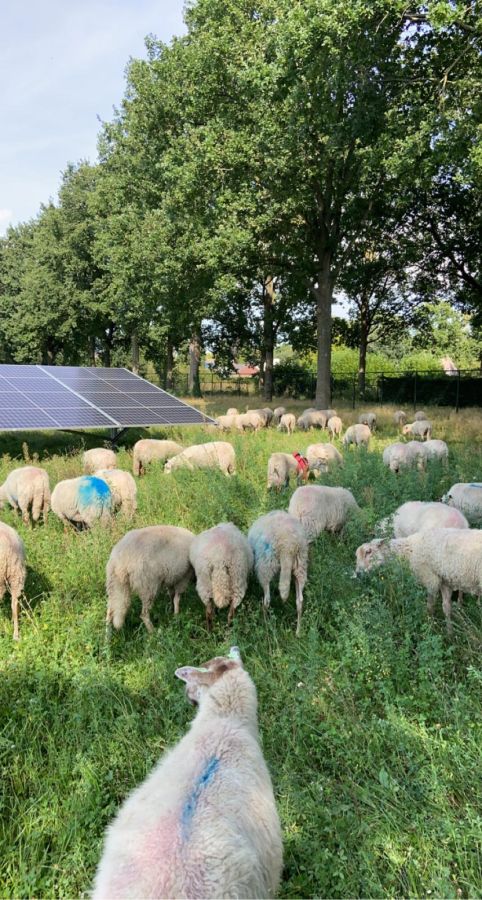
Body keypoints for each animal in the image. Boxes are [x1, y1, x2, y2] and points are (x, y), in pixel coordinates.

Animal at [354, 528, 482, 632]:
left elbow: (429, 607)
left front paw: (431, 627)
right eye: (356, 556)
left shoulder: (431, 581)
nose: (358, 573)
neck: (409, 551)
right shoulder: (444, 581)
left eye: (368, 551)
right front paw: (450, 634)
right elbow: (446, 608)